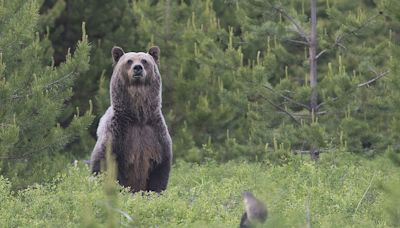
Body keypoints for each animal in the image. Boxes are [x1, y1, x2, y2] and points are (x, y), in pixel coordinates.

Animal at [90, 45, 173, 192]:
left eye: (145, 60)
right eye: (129, 61)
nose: (137, 68)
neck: (138, 117)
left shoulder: (155, 134)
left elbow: (160, 172)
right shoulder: (117, 134)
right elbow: (102, 164)